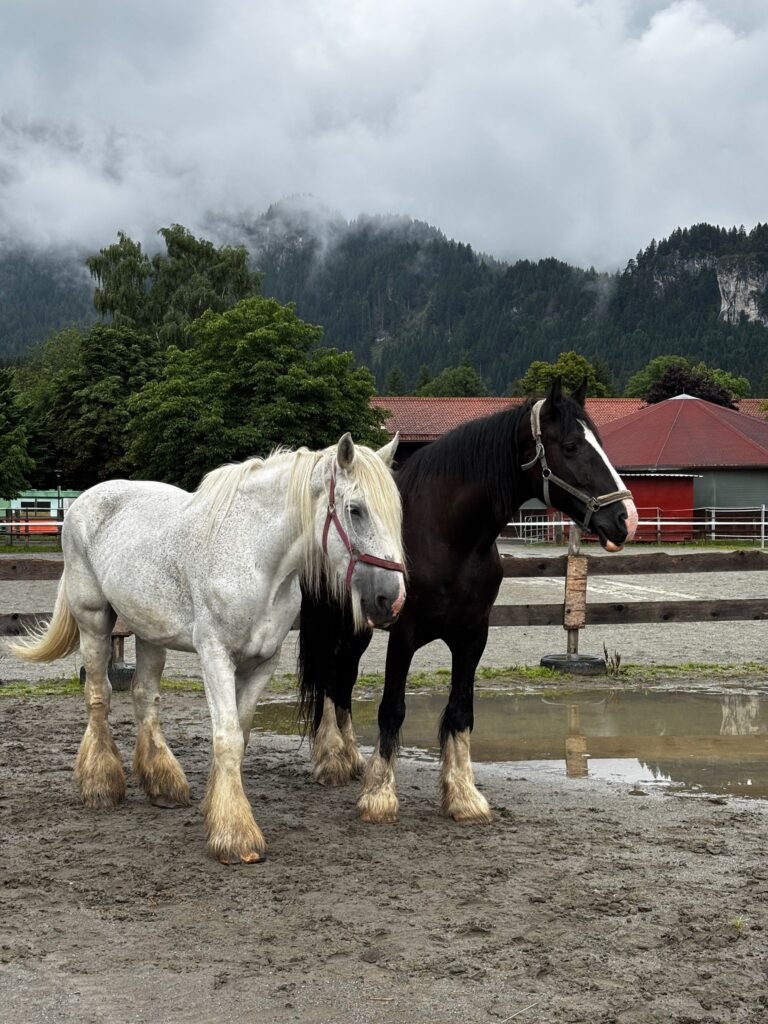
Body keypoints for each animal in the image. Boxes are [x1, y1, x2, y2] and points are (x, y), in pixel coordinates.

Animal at [9, 434, 405, 864]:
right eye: (356, 509)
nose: (391, 599)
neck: (256, 561)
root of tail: (85, 500)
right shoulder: (215, 655)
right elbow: (227, 736)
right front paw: (236, 835)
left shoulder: (263, 663)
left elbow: (241, 735)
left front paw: (217, 809)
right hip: (94, 621)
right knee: (99, 695)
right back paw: (100, 784)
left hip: (150, 633)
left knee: (144, 696)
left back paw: (163, 783)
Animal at [298, 379, 638, 824]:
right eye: (569, 446)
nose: (626, 518)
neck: (446, 535)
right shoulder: (404, 636)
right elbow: (392, 709)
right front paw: (379, 795)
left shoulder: (473, 636)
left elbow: (461, 711)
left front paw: (462, 795)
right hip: (332, 621)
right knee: (327, 677)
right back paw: (330, 759)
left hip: (361, 626)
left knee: (343, 680)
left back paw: (351, 757)